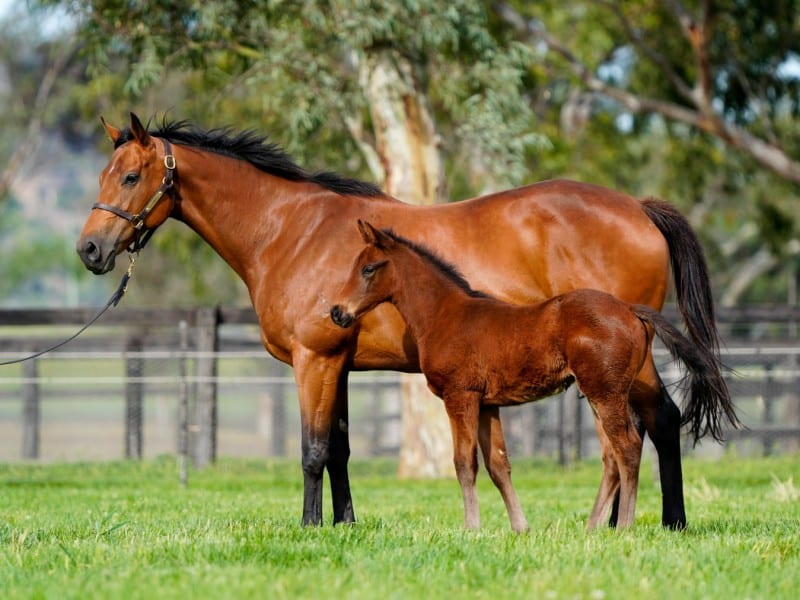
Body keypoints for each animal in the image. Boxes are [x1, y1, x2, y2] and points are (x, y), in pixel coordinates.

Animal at [330, 221, 731, 531]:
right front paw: (520, 528)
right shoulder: (488, 404)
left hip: (605, 393)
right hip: (600, 394)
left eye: (369, 268)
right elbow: (499, 464)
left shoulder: (461, 396)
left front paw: (470, 528)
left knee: (628, 448)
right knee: (611, 458)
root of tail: (632, 311)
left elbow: (464, 462)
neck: (446, 316)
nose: (337, 312)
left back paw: (623, 527)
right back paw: (591, 528)